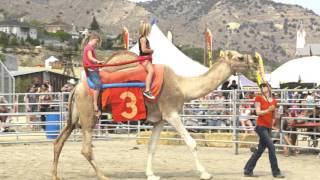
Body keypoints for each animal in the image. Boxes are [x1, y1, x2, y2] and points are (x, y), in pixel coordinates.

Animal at [52, 49, 258, 180]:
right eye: (240, 57)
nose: (255, 62)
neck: (182, 86)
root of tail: (76, 87)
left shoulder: (160, 120)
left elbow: (152, 147)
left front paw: (151, 174)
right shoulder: (171, 113)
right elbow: (192, 142)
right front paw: (205, 173)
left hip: (74, 117)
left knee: (59, 141)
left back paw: (55, 175)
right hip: (89, 115)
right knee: (86, 148)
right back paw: (103, 175)